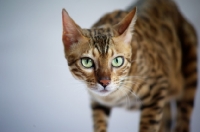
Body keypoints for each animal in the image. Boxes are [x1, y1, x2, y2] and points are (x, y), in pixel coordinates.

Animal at [61, 0, 197, 131]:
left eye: (117, 61)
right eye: (87, 62)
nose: (105, 82)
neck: (114, 96)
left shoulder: (159, 85)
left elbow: (149, 125)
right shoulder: (97, 101)